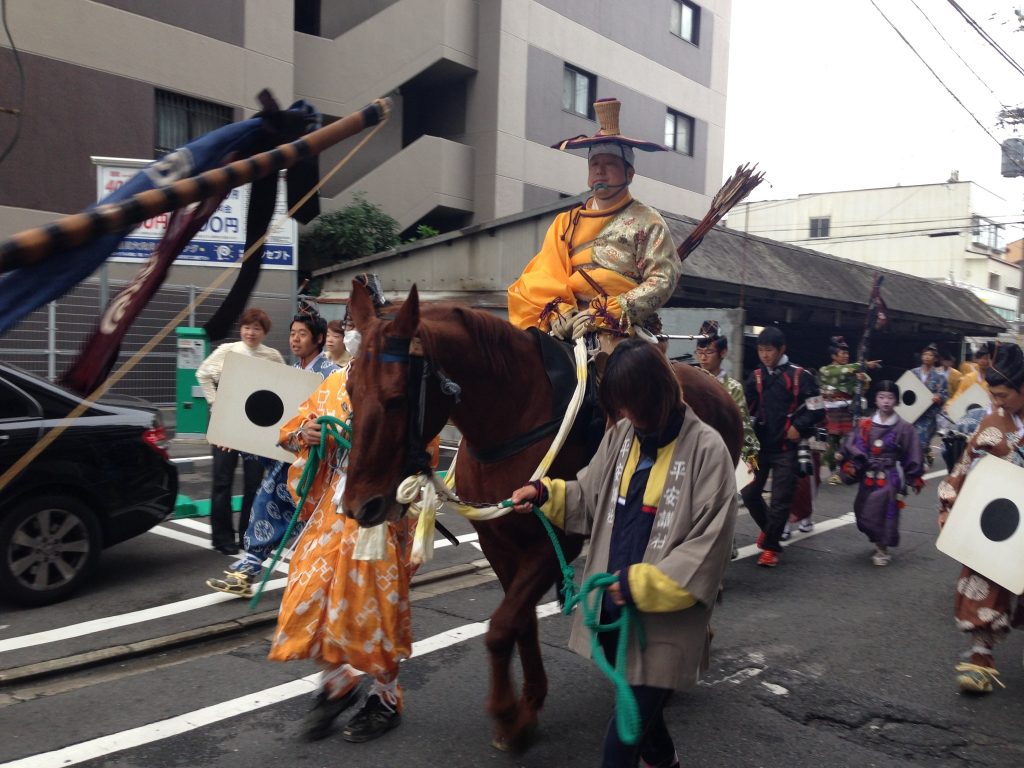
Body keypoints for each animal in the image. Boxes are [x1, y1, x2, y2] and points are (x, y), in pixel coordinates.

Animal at [339, 282, 741, 753]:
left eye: (396, 399)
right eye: (350, 389)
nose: (360, 506)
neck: (513, 418)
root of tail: (715, 385)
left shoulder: (556, 541)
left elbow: (501, 628)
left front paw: (506, 712)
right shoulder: (499, 542)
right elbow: (521, 622)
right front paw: (527, 709)